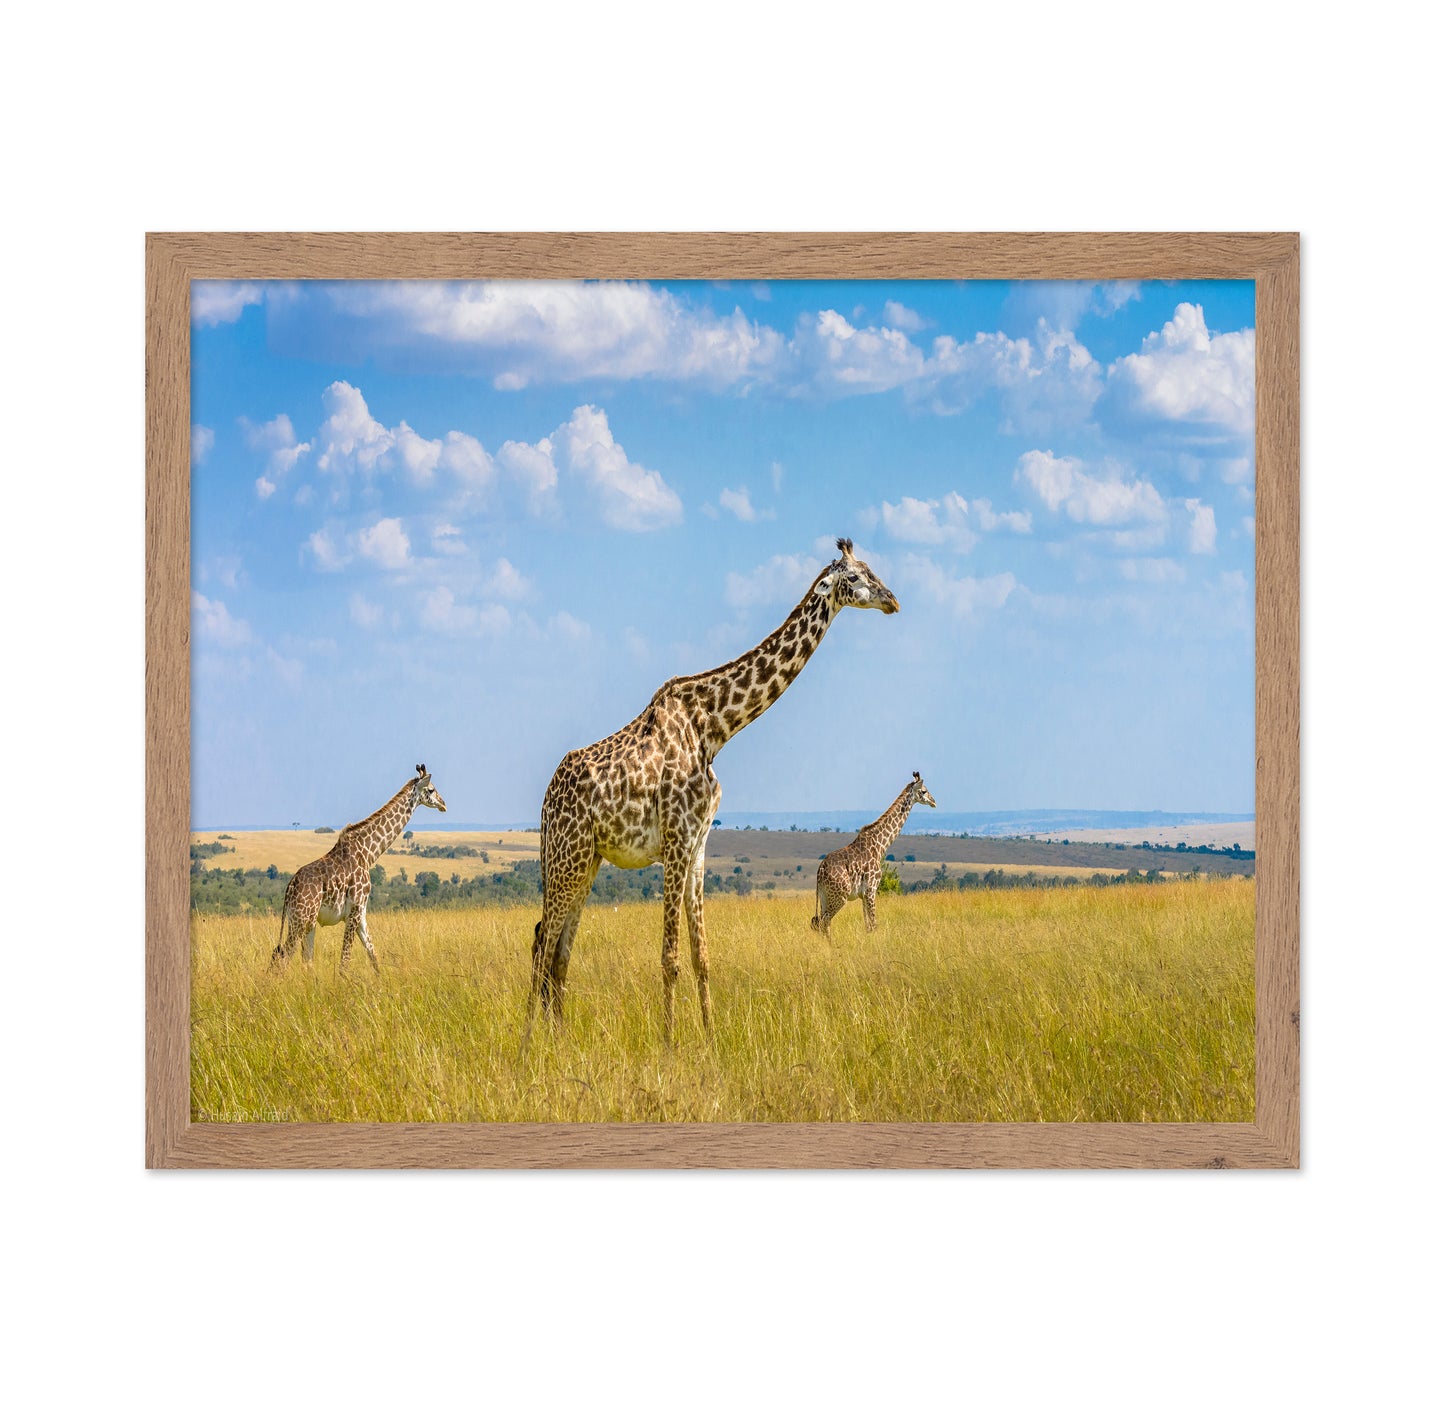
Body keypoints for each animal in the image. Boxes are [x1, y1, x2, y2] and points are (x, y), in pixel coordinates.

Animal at [269, 764, 447, 973]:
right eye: (431, 789)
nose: (444, 804)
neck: (368, 854)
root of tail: (289, 889)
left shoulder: (361, 913)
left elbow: (373, 955)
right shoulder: (353, 911)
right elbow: (345, 962)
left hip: (306, 922)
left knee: (304, 961)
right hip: (301, 919)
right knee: (282, 959)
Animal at [526, 538, 900, 1047]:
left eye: (871, 569)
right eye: (857, 577)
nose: (892, 600)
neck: (714, 728)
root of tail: (546, 799)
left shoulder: (698, 845)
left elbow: (701, 956)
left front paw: (710, 1038)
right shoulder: (675, 842)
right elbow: (669, 957)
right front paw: (668, 1045)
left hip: (586, 861)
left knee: (558, 951)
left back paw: (558, 1040)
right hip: (567, 858)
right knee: (542, 945)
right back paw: (528, 1045)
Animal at [811, 771, 937, 938]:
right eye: (923, 791)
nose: (934, 802)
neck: (880, 845)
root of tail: (820, 871)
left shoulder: (864, 894)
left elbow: (868, 925)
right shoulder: (871, 888)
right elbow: (874, 924)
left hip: (825, 896)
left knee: (821, 922)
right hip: (840, 896)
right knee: (824, 921)